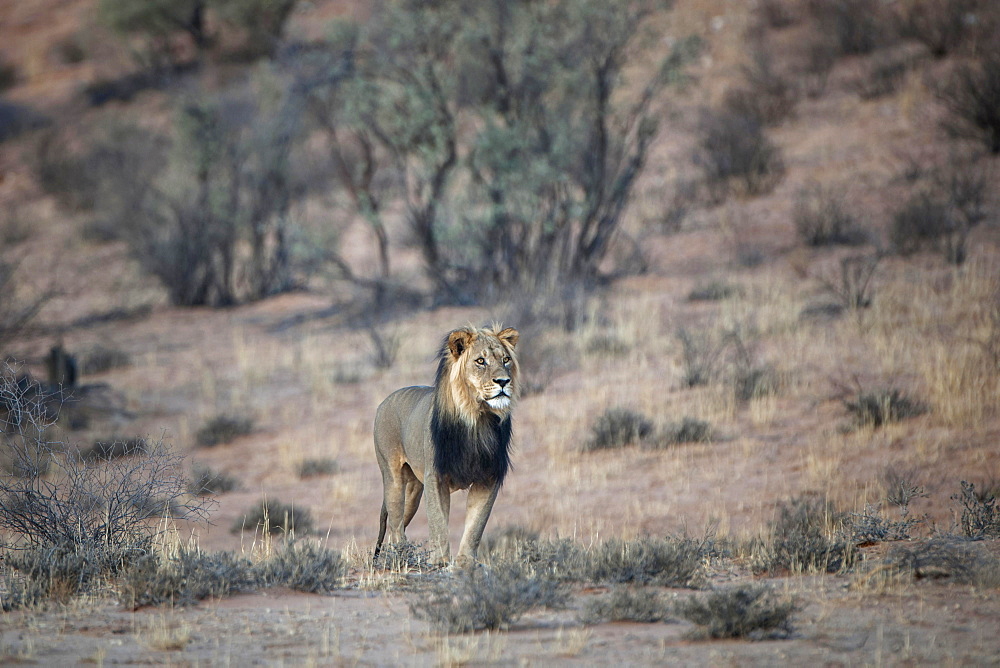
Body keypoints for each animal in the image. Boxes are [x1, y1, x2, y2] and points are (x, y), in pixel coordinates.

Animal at [372, 326, 520, 568]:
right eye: (480, 361)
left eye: (506, 359)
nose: (503, 381)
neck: (476, 420)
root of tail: (385, 401)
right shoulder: (436, 476)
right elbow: (438, 521)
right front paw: (440, 560)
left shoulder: (488, 478)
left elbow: (476, 524)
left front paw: (465, 561)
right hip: (392, 477)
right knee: (395, 523)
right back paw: (402, 556)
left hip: (413, 490)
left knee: (401, 521)